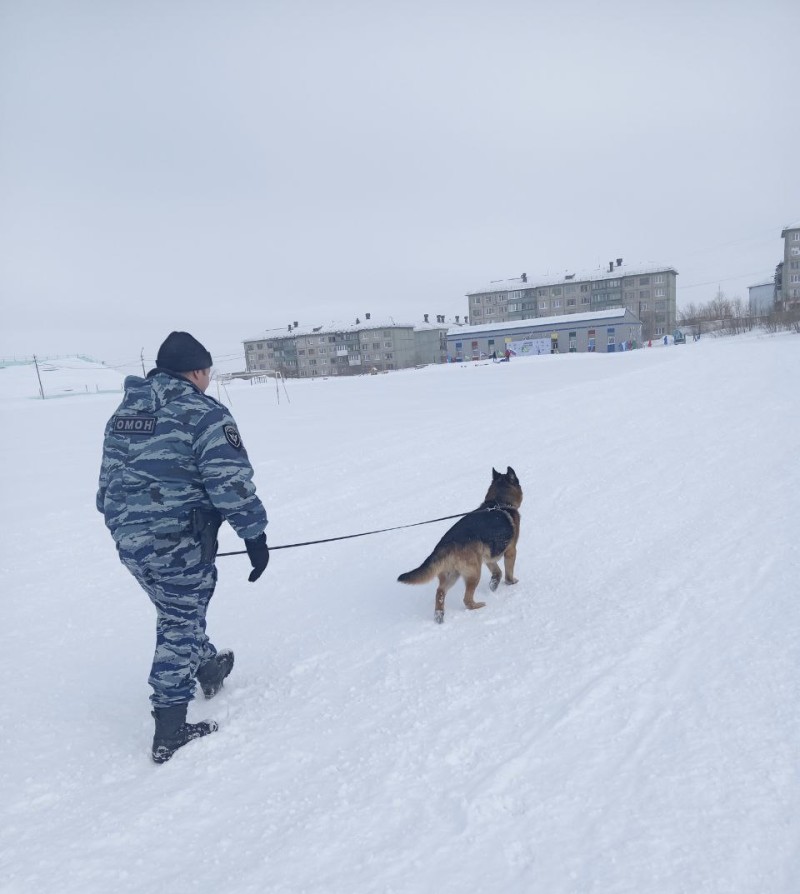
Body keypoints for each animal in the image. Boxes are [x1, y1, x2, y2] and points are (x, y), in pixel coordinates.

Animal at [396, 468, 520, 624]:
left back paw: (439, 615)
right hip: (473, 573)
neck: (499, 501)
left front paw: (494, 583)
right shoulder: (511, 551)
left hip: (452, 573)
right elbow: (508, 571)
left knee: (440, 591)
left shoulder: (487, 557)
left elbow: (497, 571)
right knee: (466, 599)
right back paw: (477, 605)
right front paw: (511, 582)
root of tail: (445, 544)